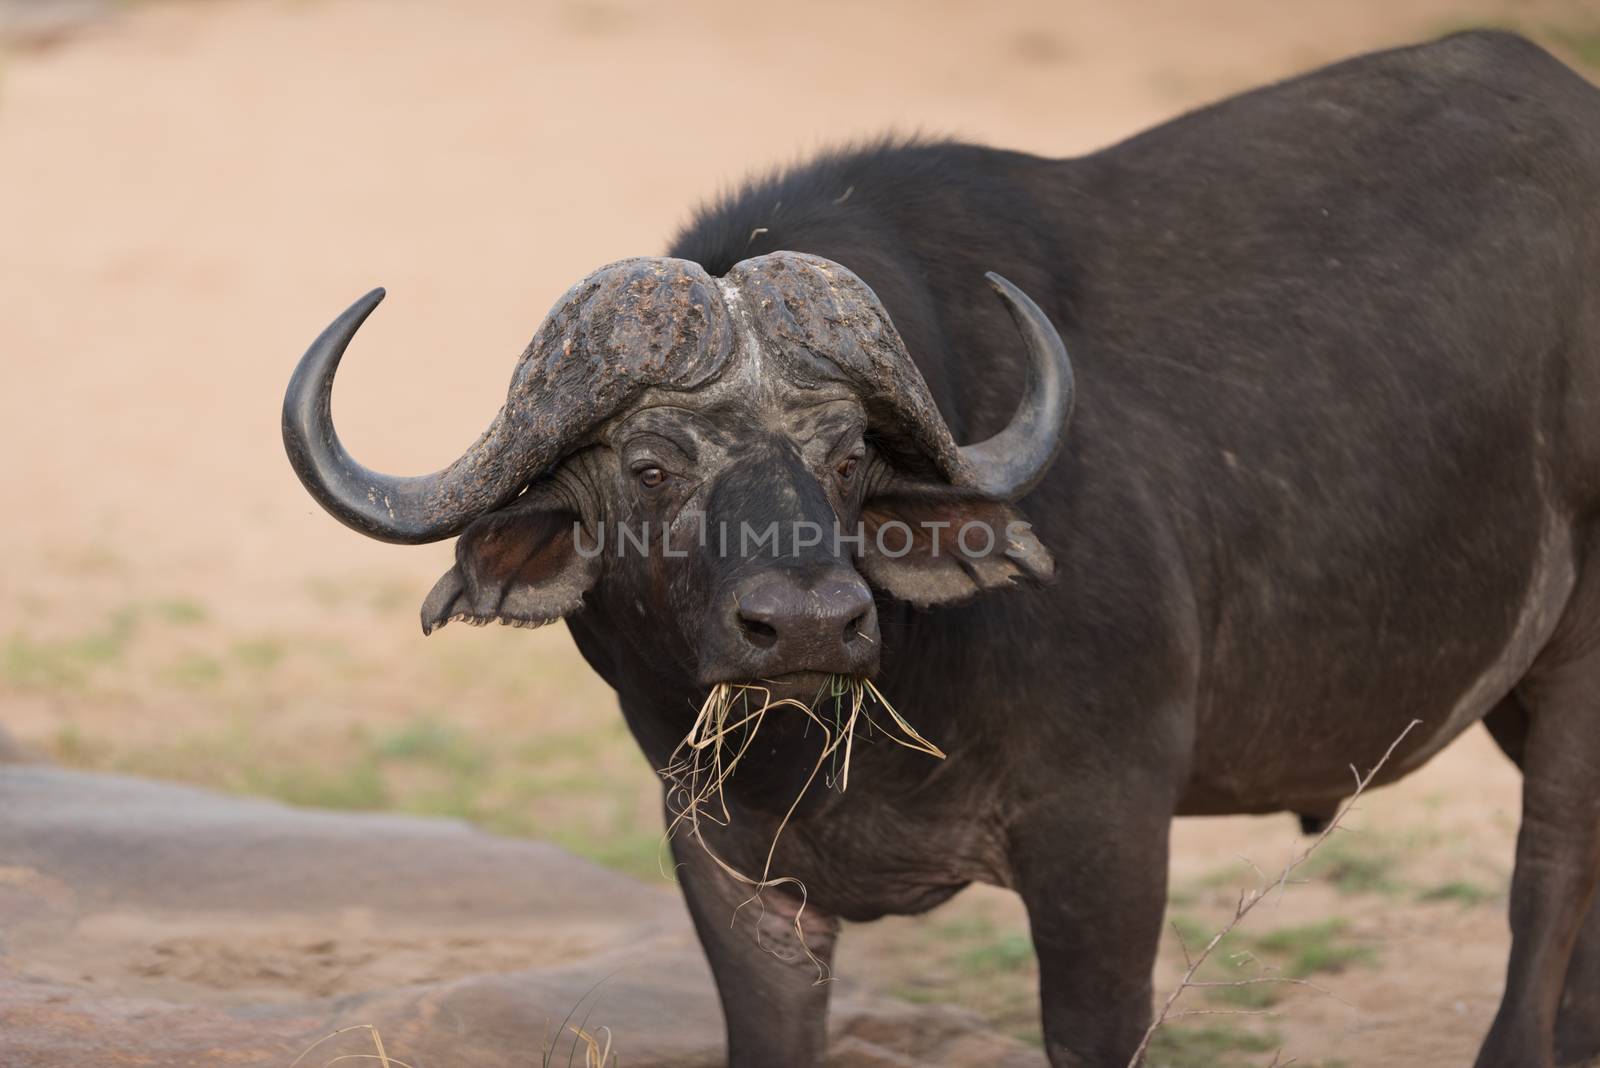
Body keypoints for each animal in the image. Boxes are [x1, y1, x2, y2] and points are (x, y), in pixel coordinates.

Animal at [284, 29, 1600, 1061]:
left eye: (846, 457)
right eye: (651, 466)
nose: (807, 624)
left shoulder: (1106, 831)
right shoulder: (728, 866)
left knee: (1549, 867)